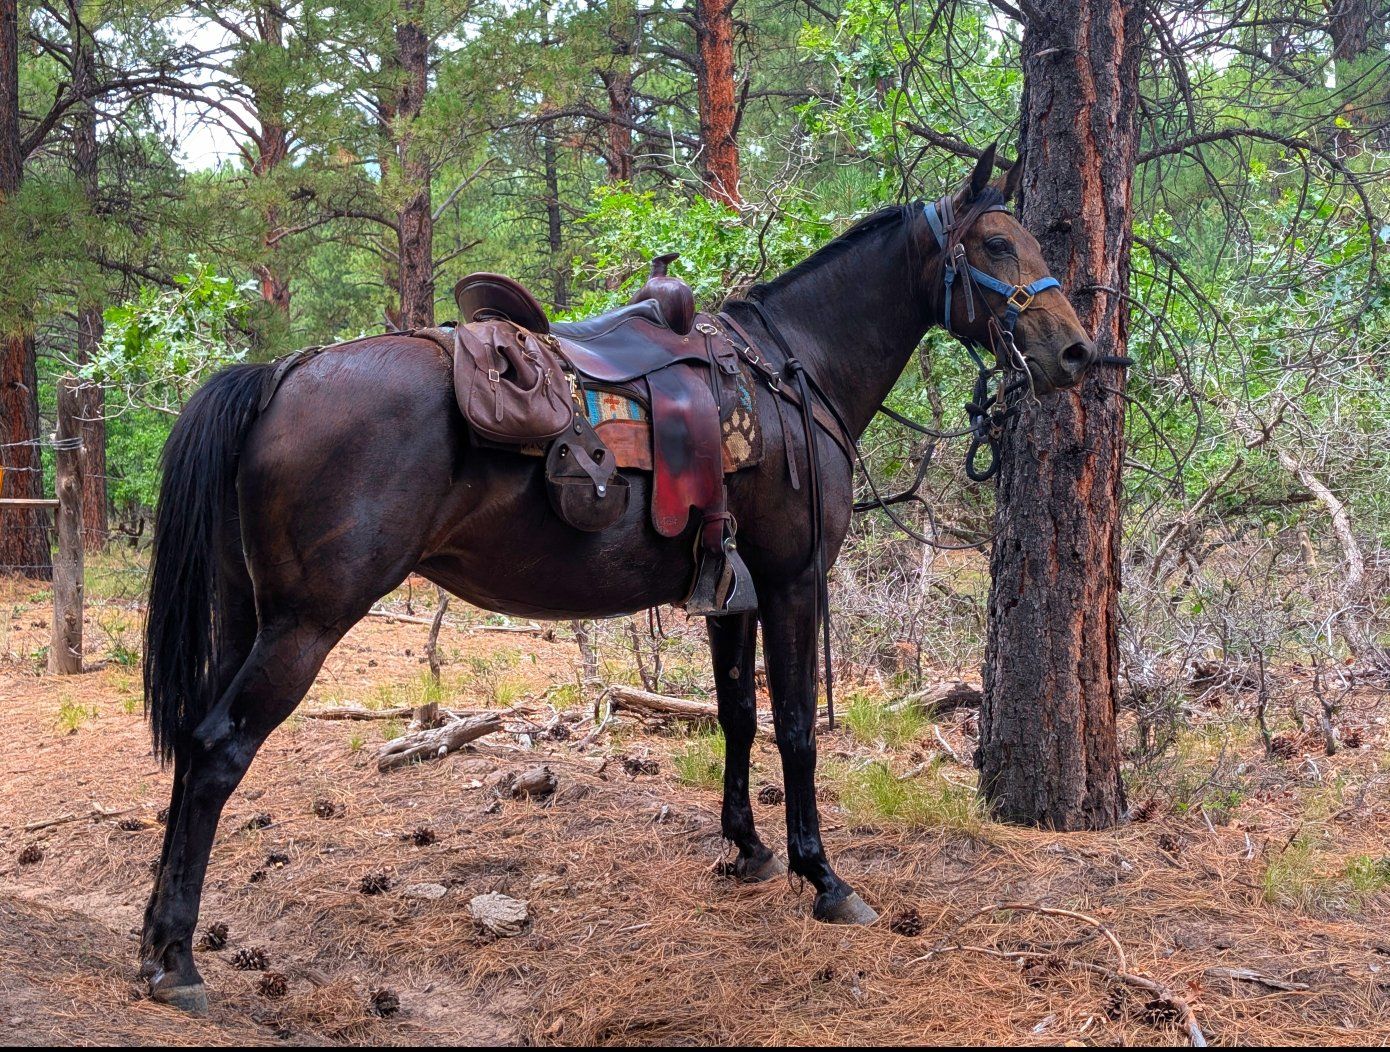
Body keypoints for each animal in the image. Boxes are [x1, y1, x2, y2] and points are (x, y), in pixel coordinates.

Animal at [137, 147, 1096, 1011]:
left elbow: (737, 718)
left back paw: (155, 941)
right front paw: (822, 876)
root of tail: (281, 375)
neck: (796, 370)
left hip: (245, 614)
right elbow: (794, 730)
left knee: (192, 739)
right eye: (997, 245)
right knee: (218, 748)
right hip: (305, 622)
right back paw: (177, 960)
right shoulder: (791, 582)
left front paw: (746, 850)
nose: (1081, 353)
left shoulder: (731, 590)